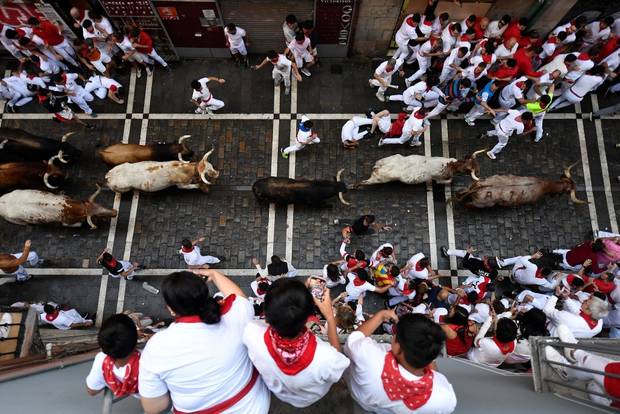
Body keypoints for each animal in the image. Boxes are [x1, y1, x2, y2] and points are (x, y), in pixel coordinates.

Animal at [354, 150, 484, 187]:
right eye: (472, 167)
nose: (479, 171)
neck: (450, 164)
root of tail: (378, 166)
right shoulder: (438, 178)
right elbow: (449, 180)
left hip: (390, 158)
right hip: (378, 179)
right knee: (364, 182)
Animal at [450, 162, 588, 207]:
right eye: (567, 190)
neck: (544, 185)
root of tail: (479, 187)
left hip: (471, 186)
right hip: (481, 204)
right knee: (468, 204)